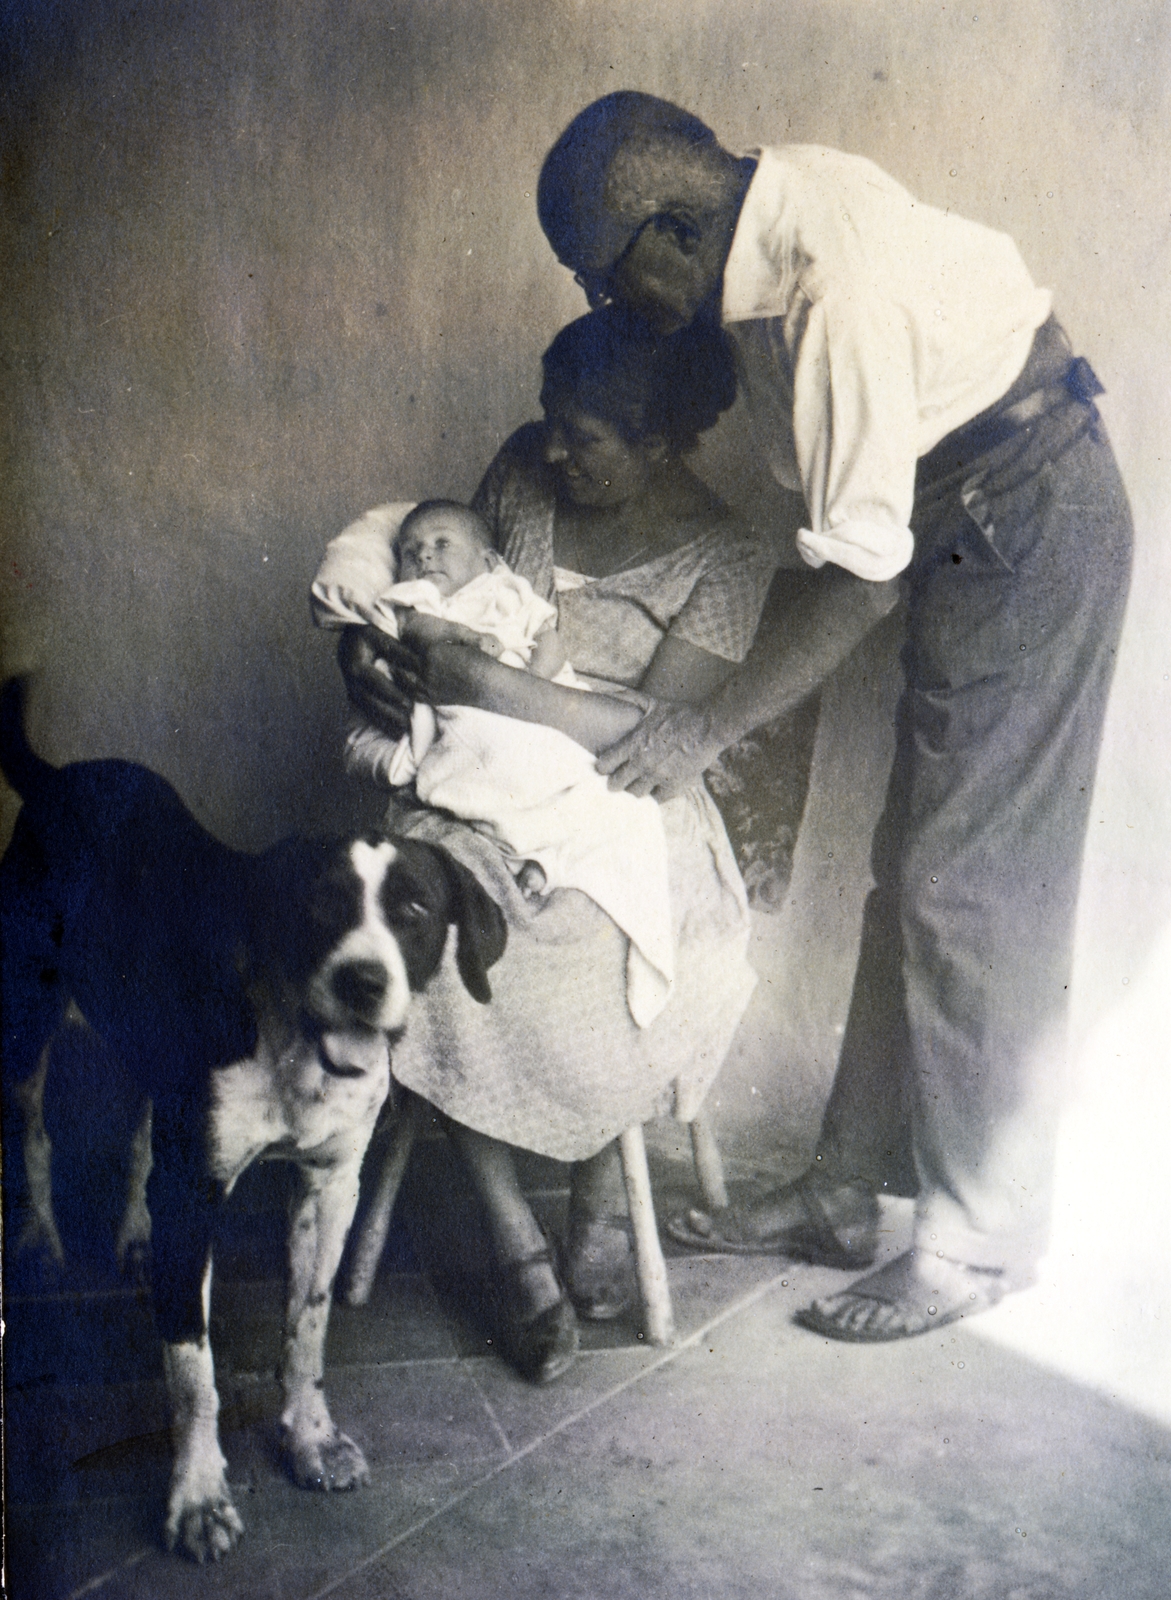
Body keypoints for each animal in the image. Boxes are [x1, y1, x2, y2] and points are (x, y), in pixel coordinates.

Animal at [0, 678, 505, 1561]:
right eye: (319, 906)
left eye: (414, 911)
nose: (364, 982)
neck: (291, 1046)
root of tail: (62, 775)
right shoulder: (196, 1196)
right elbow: (191, 1372)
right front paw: (199, 1495)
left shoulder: (329, 1187)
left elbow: (308, 1325)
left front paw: (310, 1439)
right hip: (28, 1014)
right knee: (32, 1127)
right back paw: (38, 1237)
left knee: (141, 1136)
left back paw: (134, 1233)